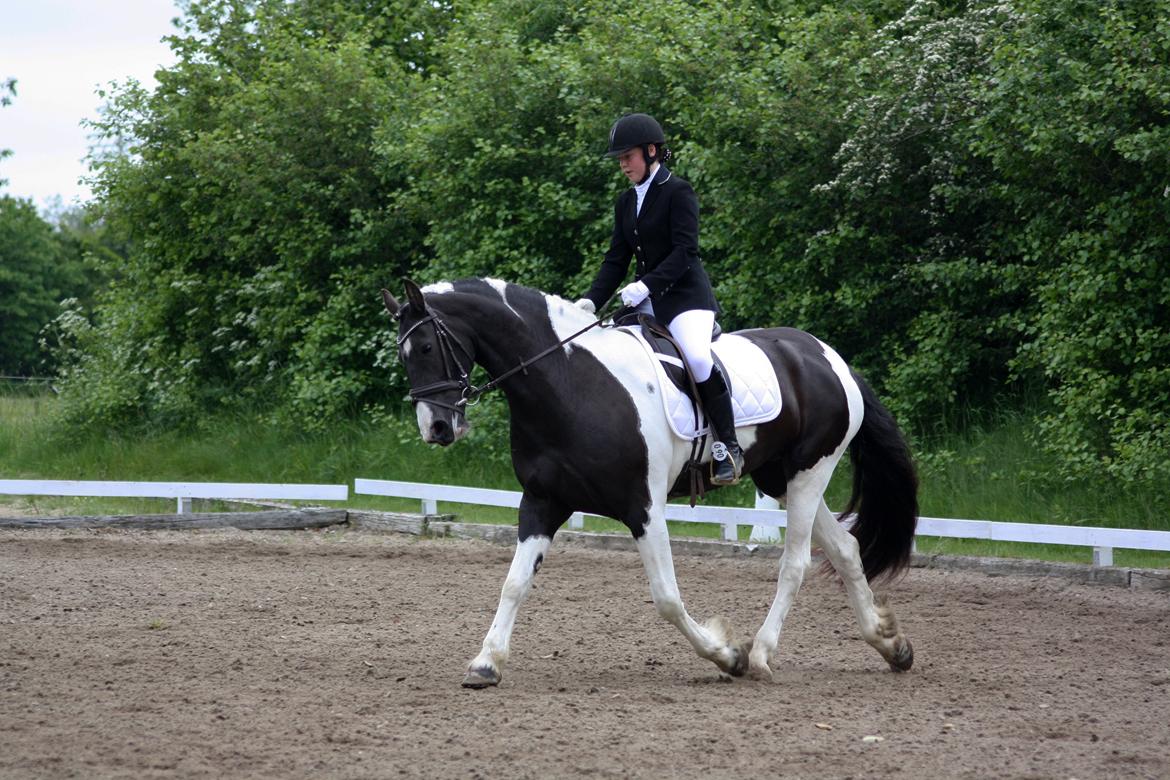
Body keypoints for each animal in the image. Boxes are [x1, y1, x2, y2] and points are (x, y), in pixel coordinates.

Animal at [379, 275, 917, 687]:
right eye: (403, 355)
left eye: (425, 346)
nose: (436, 428)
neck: (566, 384)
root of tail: (829, 357)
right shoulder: (541, 502)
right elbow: (514, 584)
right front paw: (486, 663)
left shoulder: (643, 507)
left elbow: (667, 598)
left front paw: (729, 656)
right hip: (782, 476)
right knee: (845, 548)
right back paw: (892, 646)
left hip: (811, 471)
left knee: (797, 563)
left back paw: (763, 654)